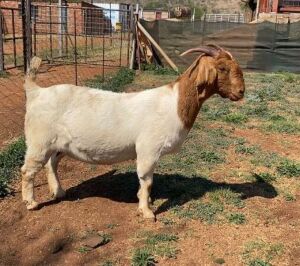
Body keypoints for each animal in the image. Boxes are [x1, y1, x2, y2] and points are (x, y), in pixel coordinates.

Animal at [21, 45, 246, 220]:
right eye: (222, 68)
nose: (241, 92)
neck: (174, 103)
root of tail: (36, 92)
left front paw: (144, 202)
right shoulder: (149, 149)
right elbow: (146, 180)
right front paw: (147, 212)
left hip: (58, 144)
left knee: (51, 164)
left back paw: (58, 192)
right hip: (39, 141)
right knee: (28, 170)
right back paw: (31, 203)